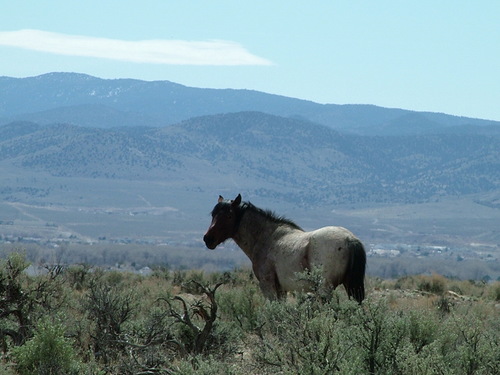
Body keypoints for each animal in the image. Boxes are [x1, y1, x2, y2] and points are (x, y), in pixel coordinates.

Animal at [203, 195, 368, 304]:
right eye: (213, 214)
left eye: (229, 216)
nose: (208, 239)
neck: (267, 238)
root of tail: (350, 239)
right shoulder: (282, 290)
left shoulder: (268, 286)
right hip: (350, 286)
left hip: (325, 288)